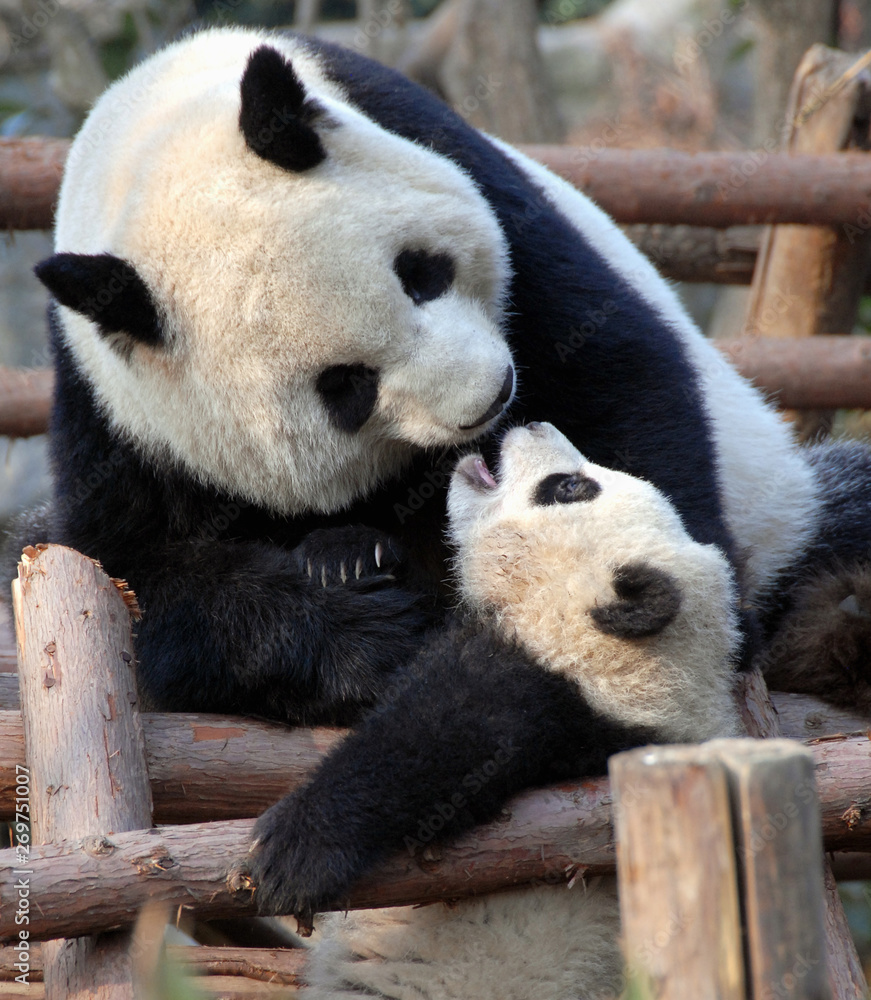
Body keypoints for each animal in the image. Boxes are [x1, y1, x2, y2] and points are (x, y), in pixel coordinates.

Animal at [249, 421, 743, 1000]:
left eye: (569, 488)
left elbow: (428, 755)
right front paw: (347, 553)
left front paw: (291, 853)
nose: (534, 423)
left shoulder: (552, 710)